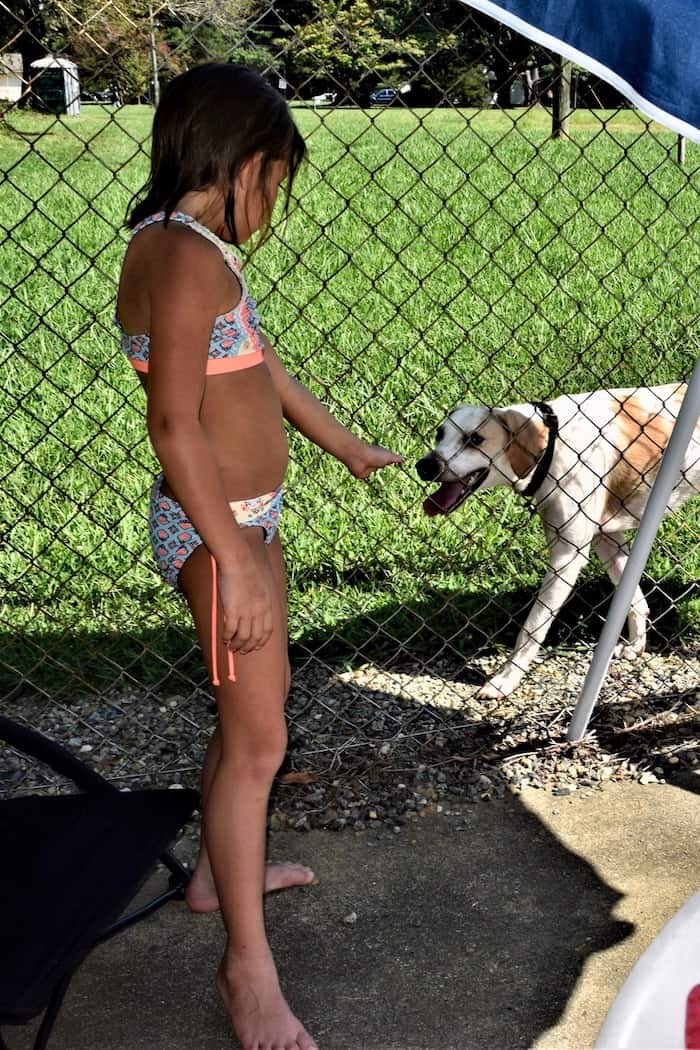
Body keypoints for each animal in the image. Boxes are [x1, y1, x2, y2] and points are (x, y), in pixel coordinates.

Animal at [415, 384, 700, 697]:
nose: (424, 466)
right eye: (440, 434)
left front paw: (505, 680)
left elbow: (532, 628)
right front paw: (637, 644)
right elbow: (634, 600)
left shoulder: (567, 557)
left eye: (474, 439)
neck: (553, 444)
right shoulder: (606, 539)